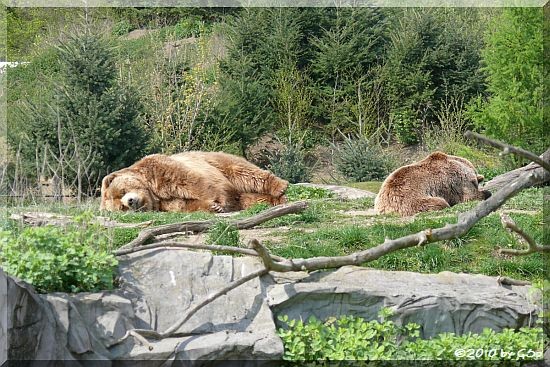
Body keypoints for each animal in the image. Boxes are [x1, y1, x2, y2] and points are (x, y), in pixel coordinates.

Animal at [100, 152, 288, 214]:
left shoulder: (158, 170)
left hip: (216, 161)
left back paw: (280, 188)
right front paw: (213, 207)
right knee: (249, 197)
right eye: (121, 207)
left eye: (122, 191)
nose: (131, 202)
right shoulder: (167, 204)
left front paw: (221, 203)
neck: (153, 193)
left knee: (244, 172)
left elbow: (194, 182)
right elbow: (186, 204)